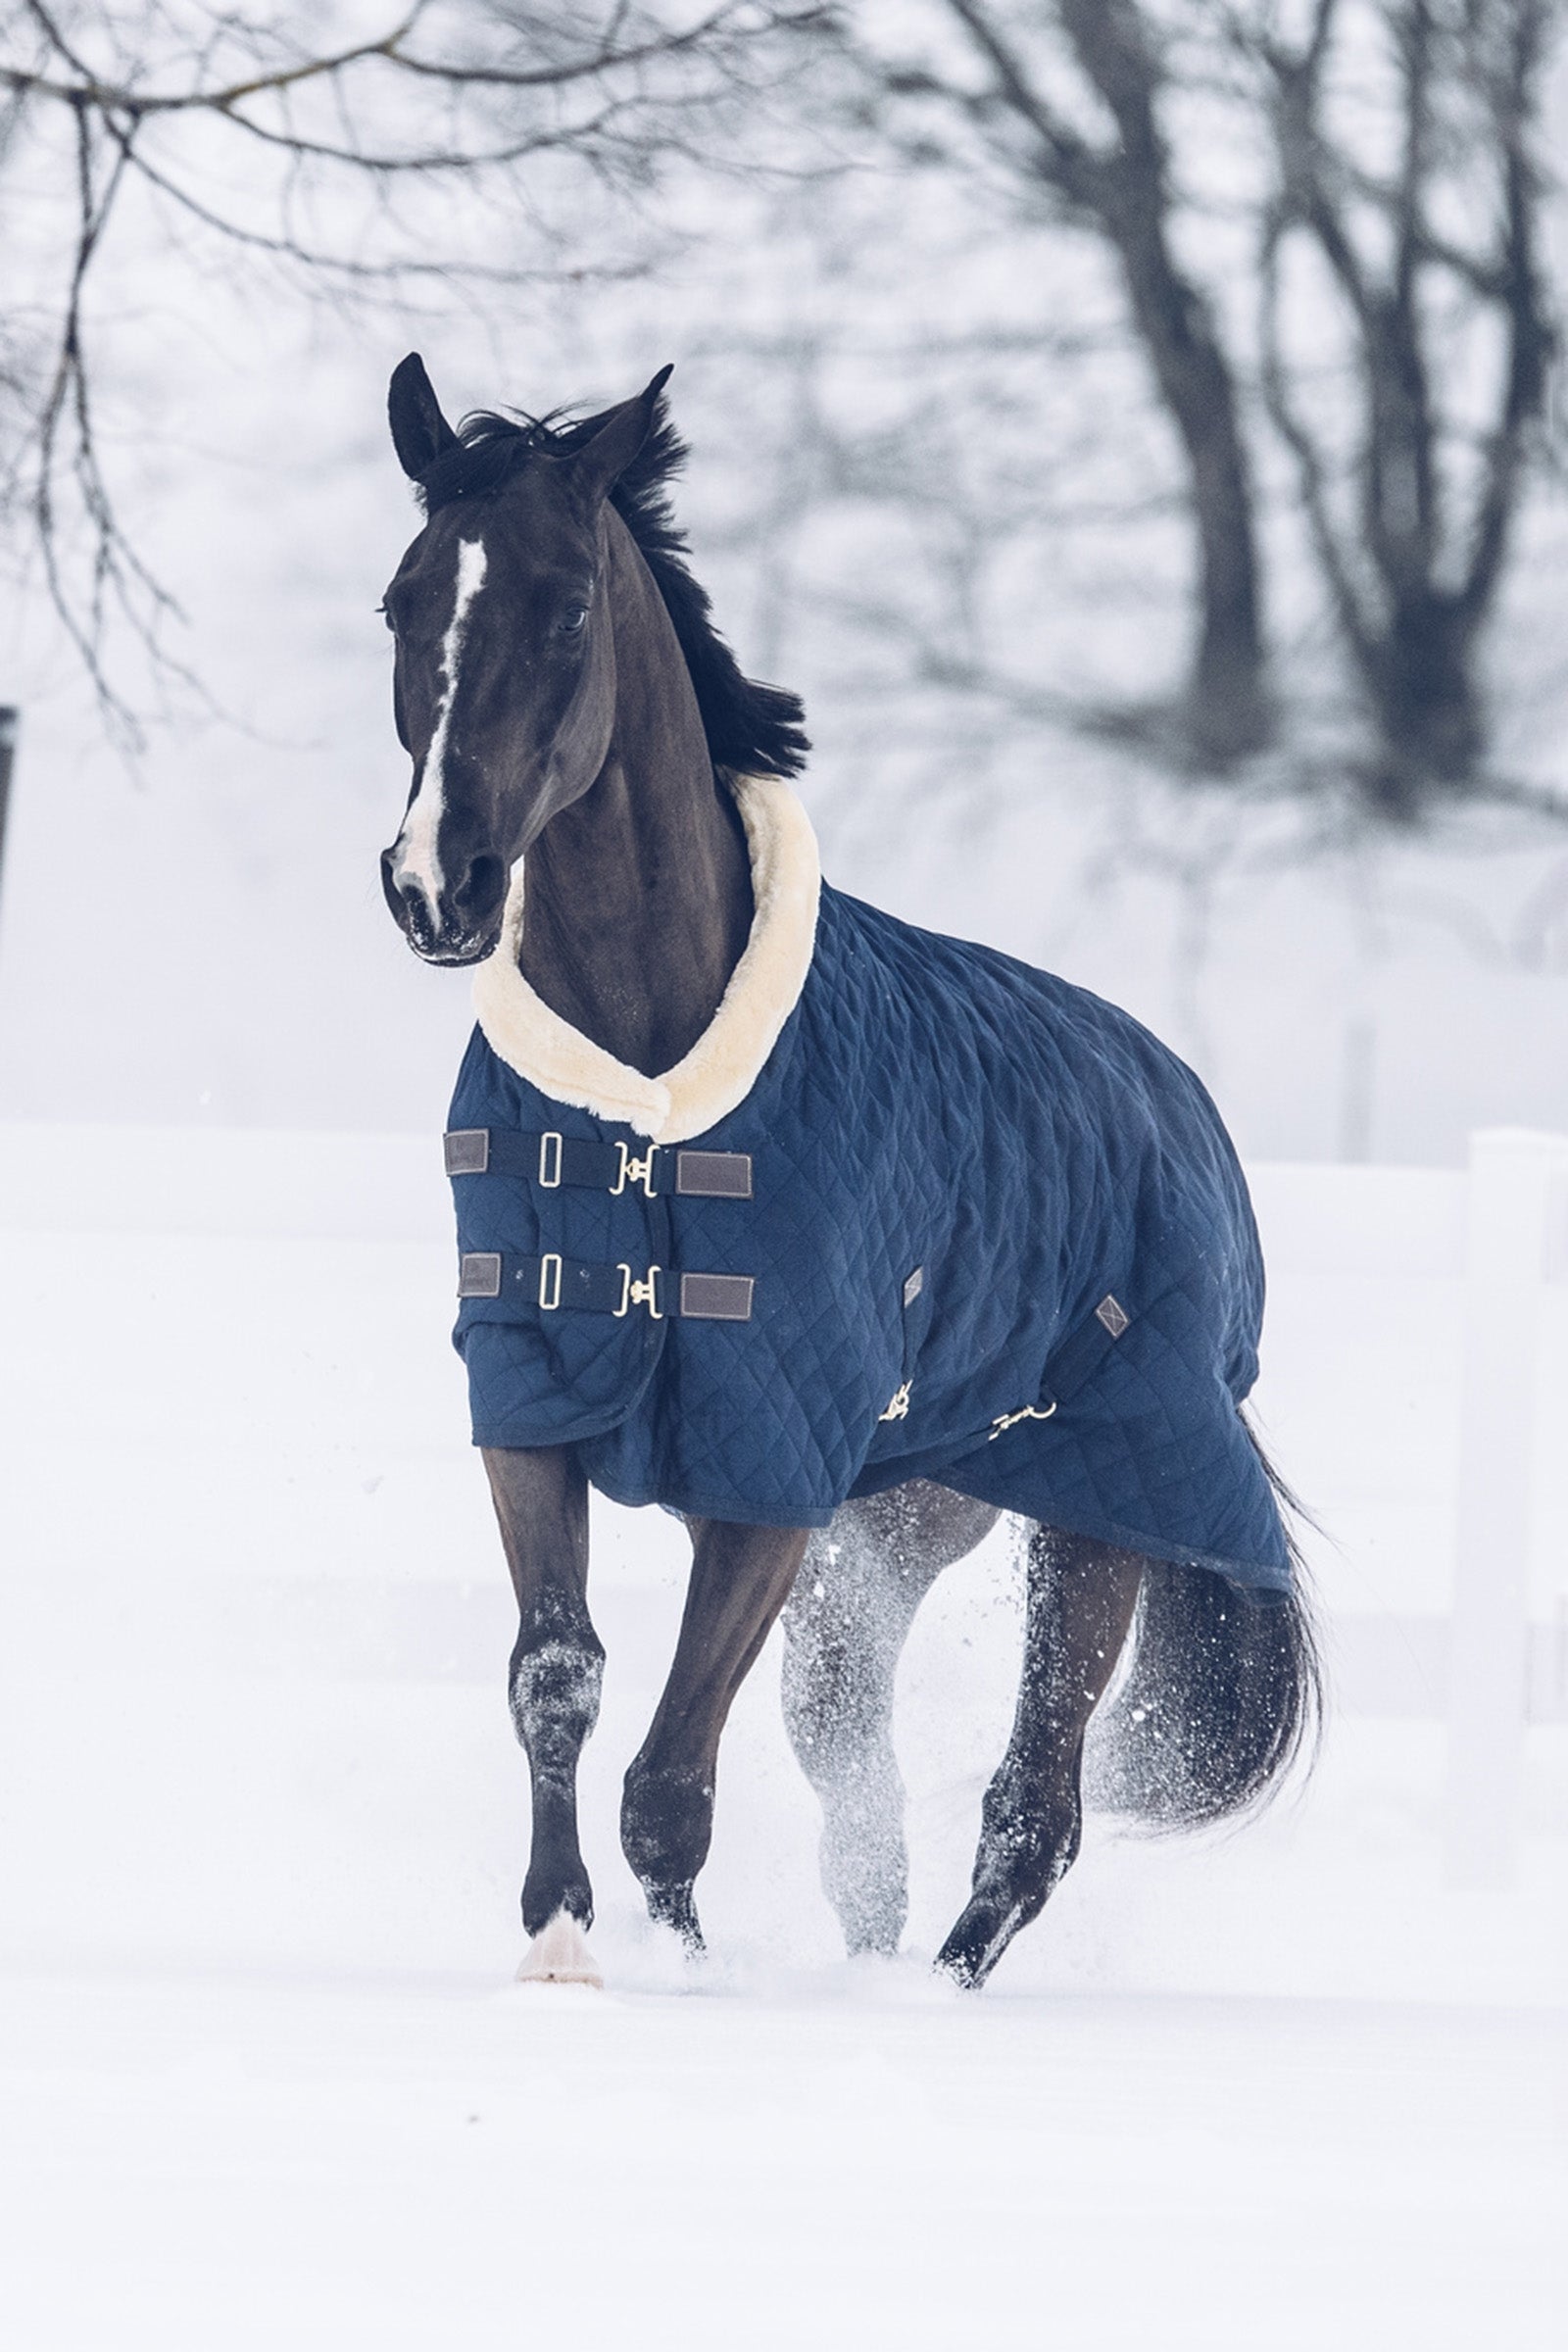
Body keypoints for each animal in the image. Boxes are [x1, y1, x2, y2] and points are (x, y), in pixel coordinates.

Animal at [378, 354, 1319, 1990]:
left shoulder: (770, 1478)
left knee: (1033, 1811)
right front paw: (559, 1949)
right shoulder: (540, 1405)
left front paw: (685, 1977)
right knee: (863, 1798)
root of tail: (1180, 1102)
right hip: (885, 1543)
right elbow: (559, 1681)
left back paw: (933, 1995)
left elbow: (670, 1785)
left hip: (1096, 1517)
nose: (440, 885)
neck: (654, 1114)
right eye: (401, 601)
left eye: (567, 608)